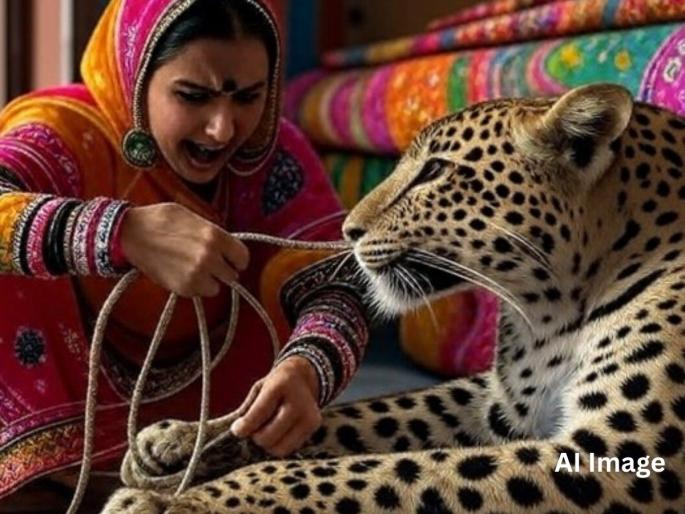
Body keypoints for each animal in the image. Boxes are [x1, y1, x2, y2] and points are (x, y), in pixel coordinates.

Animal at [101, 83, 685, 513]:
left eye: (435, 171)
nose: (348, 229)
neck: (553, 314)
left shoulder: (622, 453)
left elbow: (368, 470)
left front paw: (179, 502)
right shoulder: (498, 403)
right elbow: (367, 415)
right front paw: (179, 441)